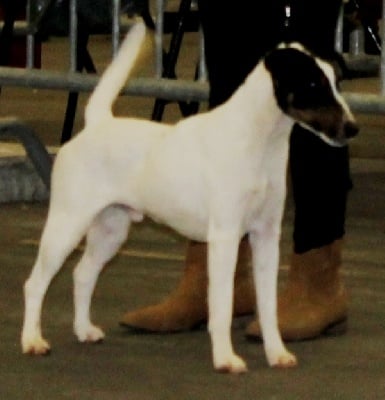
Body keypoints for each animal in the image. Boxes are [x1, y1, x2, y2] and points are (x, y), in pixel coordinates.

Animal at [21, 21, 356, 372]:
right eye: (312, 84)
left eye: (337, 82)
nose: (352, 128)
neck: (260, 143)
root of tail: (97, 124)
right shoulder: (225, 237)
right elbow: (221, 306)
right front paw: (225, 359)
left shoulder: (266, 235)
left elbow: (268, 307)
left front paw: (276, 353)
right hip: (67, 225)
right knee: (35, 284)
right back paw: (32, 341)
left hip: (111, 230)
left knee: (83, 274)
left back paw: (84, 330)